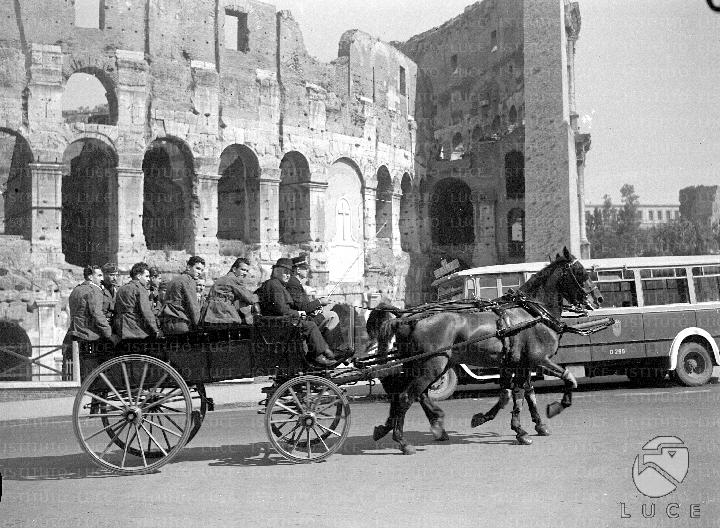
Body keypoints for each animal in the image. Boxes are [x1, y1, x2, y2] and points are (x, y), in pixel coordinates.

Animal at [366, 248, 600, 454]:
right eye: (580, 271)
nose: (598, 299)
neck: (532, 313)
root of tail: (406, 317)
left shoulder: (516, 363)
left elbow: (517, 394)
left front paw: (526, 426)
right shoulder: (539, 359)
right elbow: (567, 379)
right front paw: (553, 410)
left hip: (422, 364)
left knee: (408, 394)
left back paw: (417, 426)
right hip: (432, 365)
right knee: (406, 396)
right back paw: (403, 440)